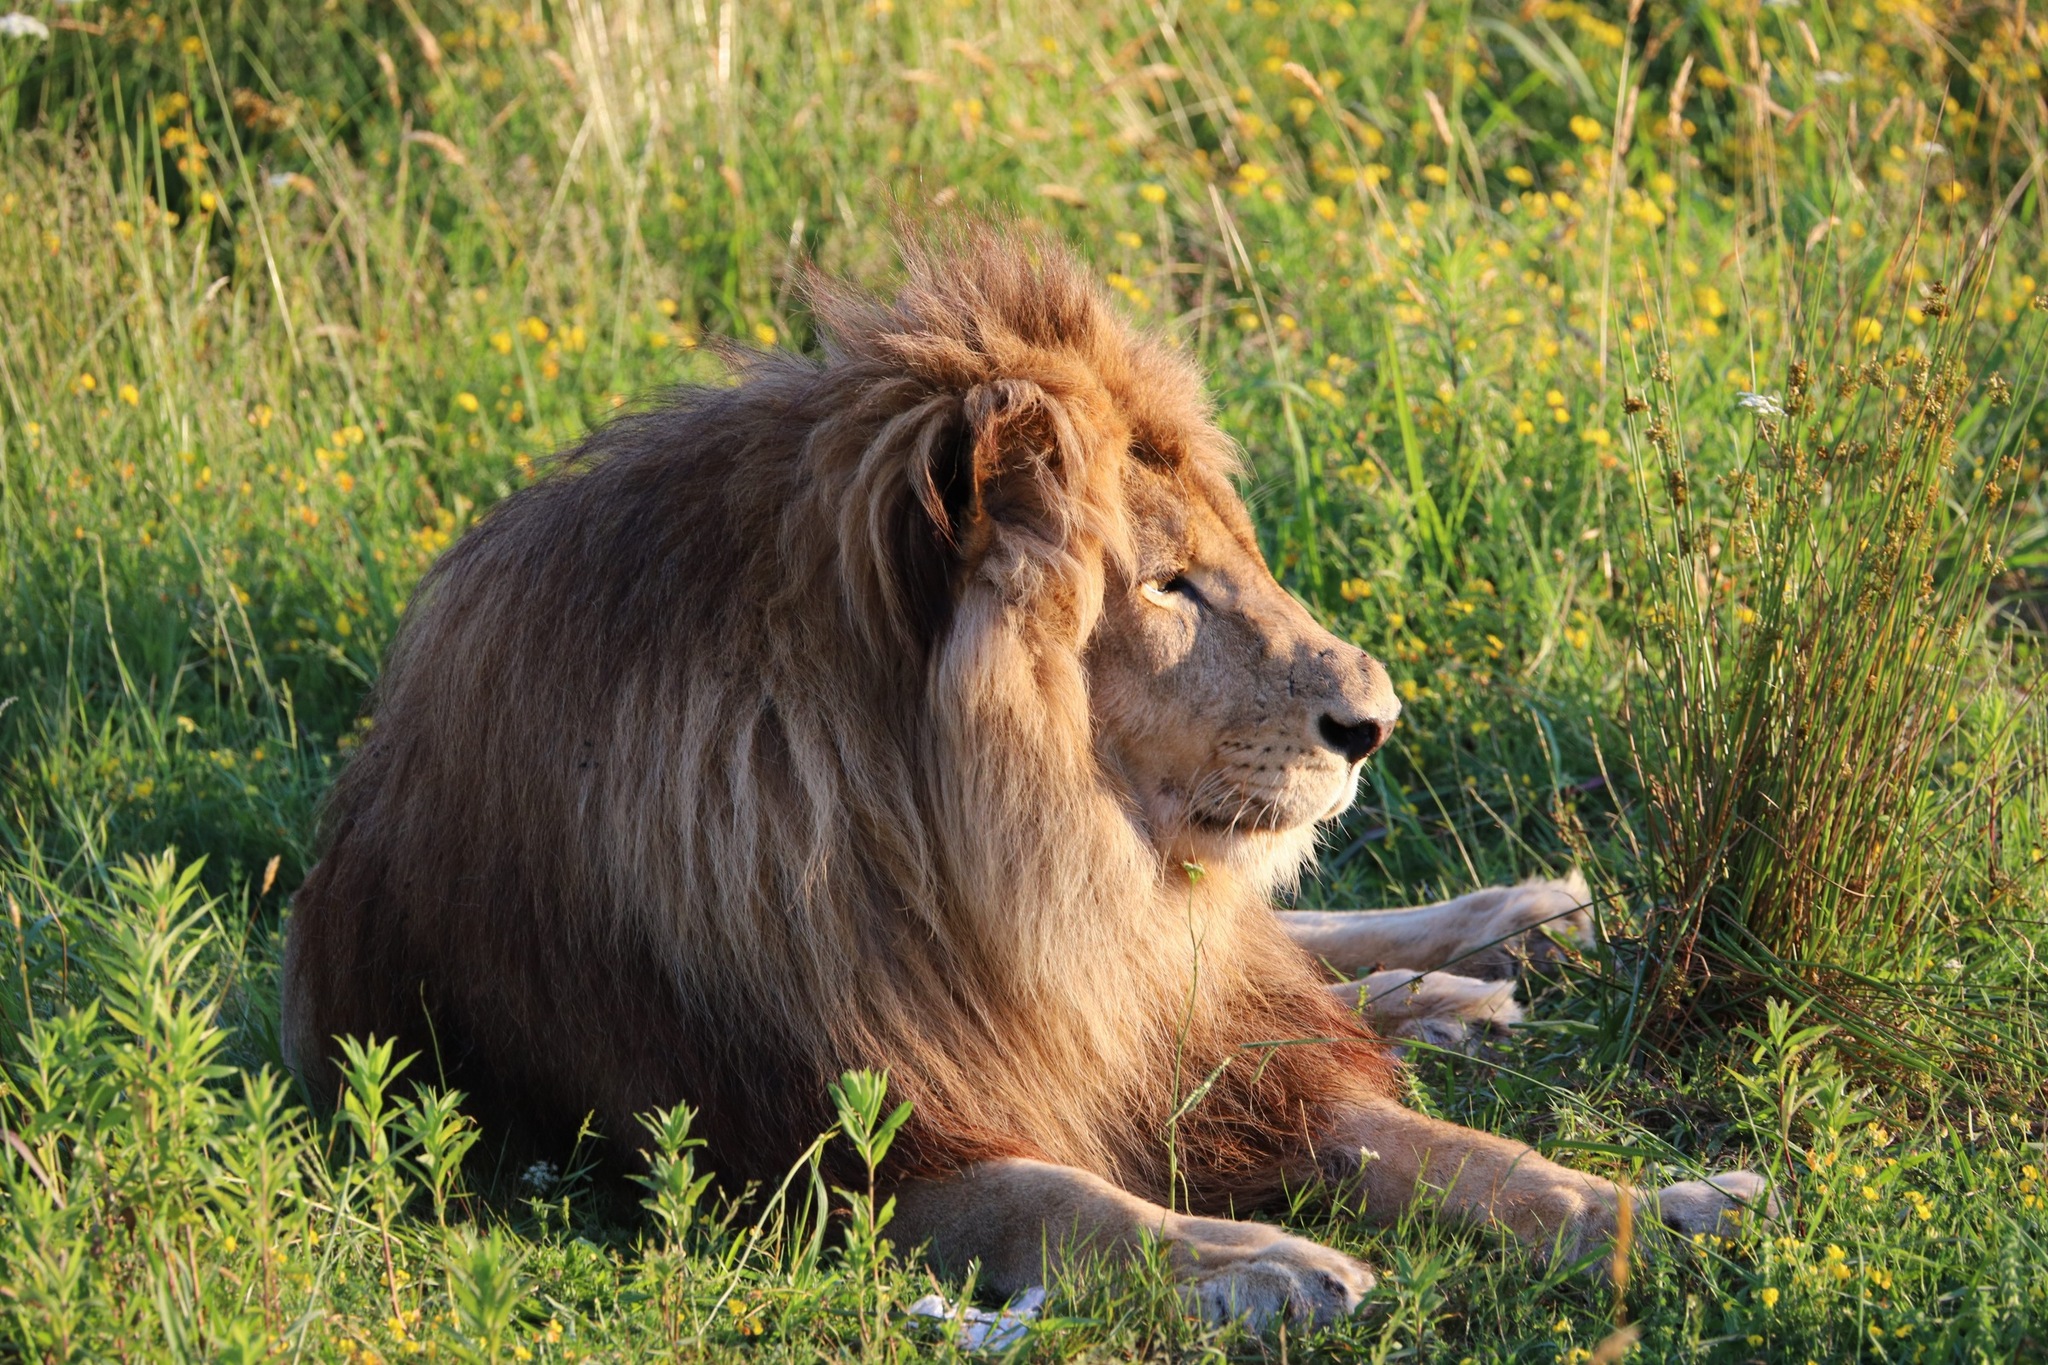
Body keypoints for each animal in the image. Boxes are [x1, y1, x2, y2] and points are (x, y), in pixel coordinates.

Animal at [280, 229, 1769, 1326]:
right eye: (1169, 585)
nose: (1374, 723)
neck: (996, 866)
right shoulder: (795, 1147)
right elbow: (1053, 1196)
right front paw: (1256, 1261)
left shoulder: (1176, 1038)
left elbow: (1457, 1152)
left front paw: (1653, 1208)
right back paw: (1452, 995)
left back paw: (1503, 938)